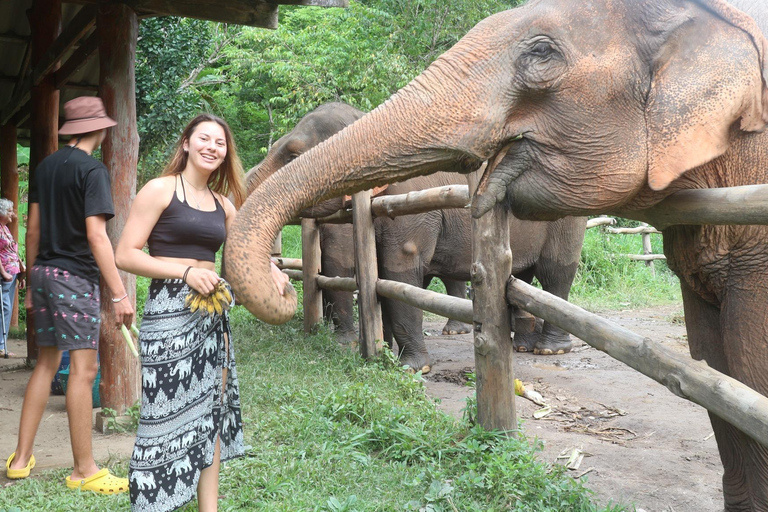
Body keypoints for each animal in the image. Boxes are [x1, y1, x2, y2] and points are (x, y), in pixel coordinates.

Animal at [228, 1, 768, 508]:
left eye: (290, 153)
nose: (279, 281)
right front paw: (387, 356)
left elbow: (400, 269)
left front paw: (411, 368)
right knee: (518, 279)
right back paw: (514, 343)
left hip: (565, 224)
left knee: (555, 273)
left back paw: (546, 350)